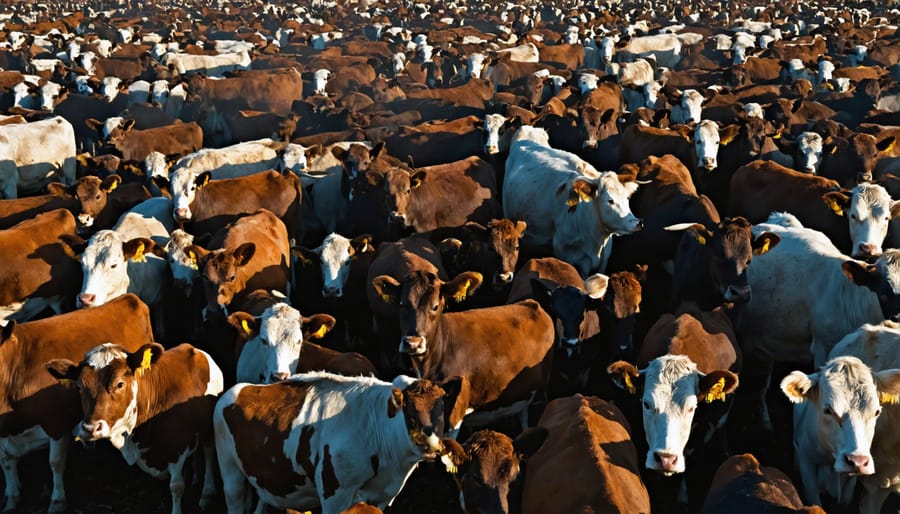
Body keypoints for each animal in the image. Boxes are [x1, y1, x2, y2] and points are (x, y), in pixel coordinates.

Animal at [0, 294, 153, 510]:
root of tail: (128, 298)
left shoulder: (56, 423)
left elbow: (55, 462)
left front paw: (57, 500)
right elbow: (6, 461)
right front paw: (11, 497)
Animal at [44, 340, 224, 512]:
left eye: (120, 384)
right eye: (79, 387)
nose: (90, 428)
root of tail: (195, 350)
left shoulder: (177, 448)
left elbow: (177, 487)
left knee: (209, 450)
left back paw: (207, 492)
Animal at [211, 370, 464, 510]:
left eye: (441, 410)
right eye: (410, 413)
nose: (431, 446)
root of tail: (239, 388)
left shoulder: (381, 497)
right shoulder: (334, 495)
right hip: (230, 474)